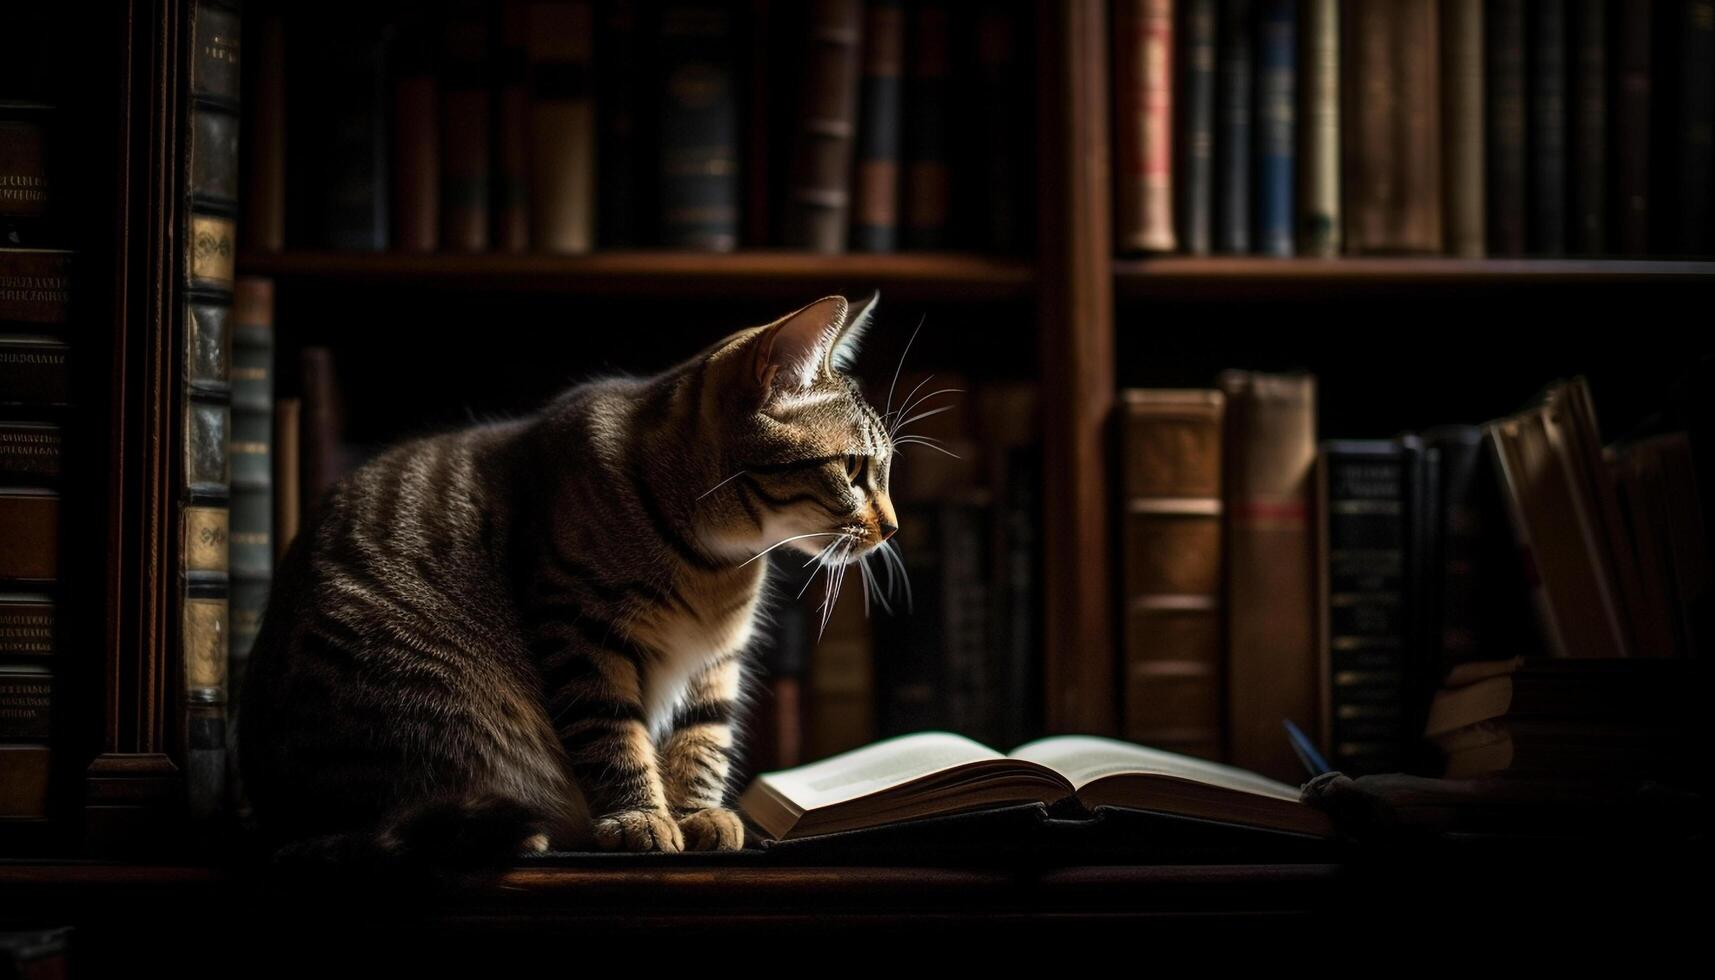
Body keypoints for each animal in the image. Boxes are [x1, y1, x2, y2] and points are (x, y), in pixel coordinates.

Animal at [250, 295, 912, 861]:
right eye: (855, 470)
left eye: (884, 471)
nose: (892, 527)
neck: (717, 561)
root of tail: (281, 821)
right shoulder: (580, 627)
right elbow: (613, 734)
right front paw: (641, 817)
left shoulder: (716, 658)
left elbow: (703, 738)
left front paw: (700, 812)